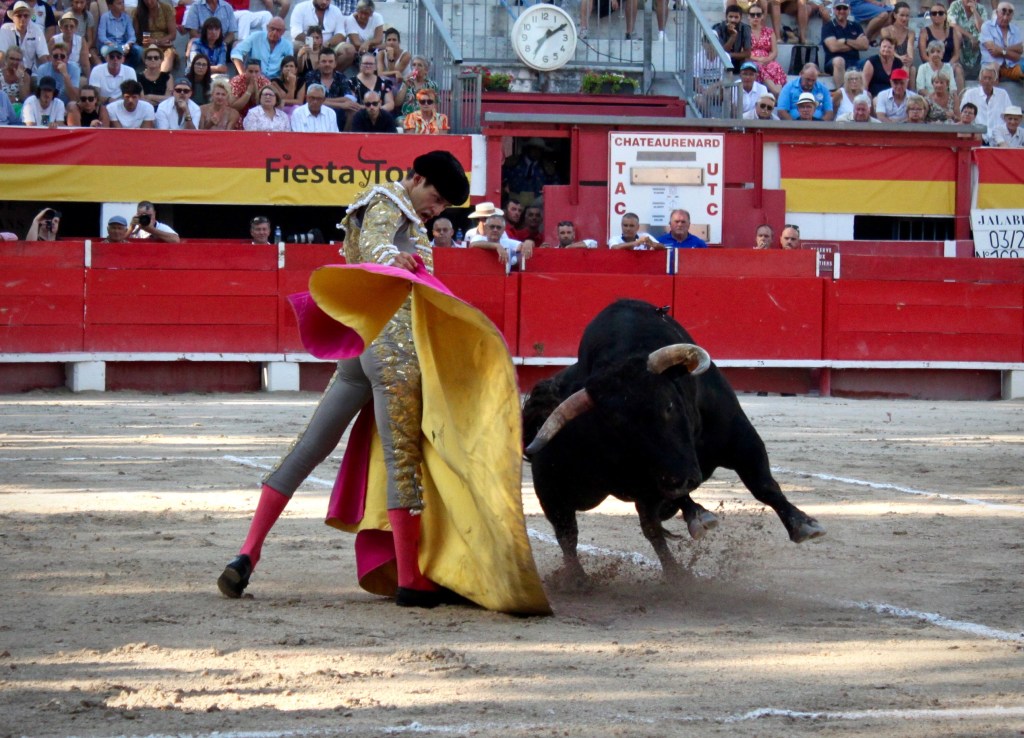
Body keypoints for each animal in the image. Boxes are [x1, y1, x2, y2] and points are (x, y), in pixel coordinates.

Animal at [522, 299, 825, 584]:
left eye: (668, 405)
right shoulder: (651, 477)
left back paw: (675, 573)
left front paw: (804, 525)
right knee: (570, 534)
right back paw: (581, 579)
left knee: (649, 527)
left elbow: (764, 485)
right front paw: (700, 517)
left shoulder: (741, 438)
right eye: (619, 427)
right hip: (556, 494)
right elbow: (673, 499)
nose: (683, 477)